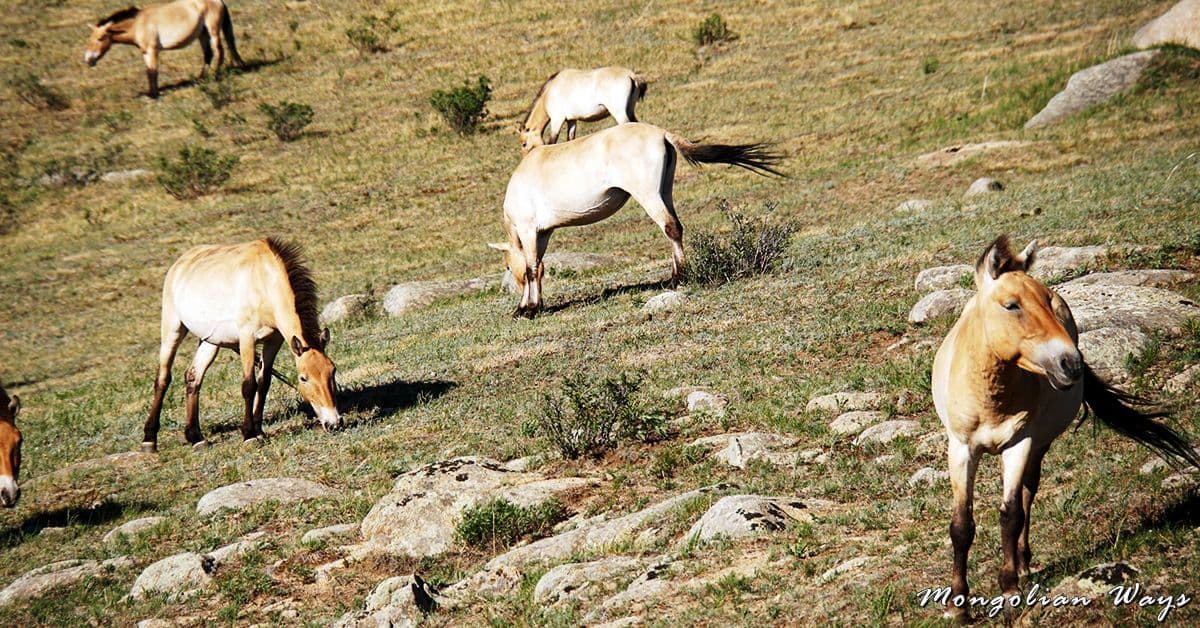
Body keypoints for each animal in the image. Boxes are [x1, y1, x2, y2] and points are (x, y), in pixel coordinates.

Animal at [84, 1, 244, 99]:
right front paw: (151, 94)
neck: (139, 24)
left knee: (219, 51)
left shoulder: (153, 51)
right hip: (202, 34)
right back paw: (201, 79)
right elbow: (149, 72)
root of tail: (219, 1)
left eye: (100, 38)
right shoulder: (146, 53)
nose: (88, 59)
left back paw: (216, 76)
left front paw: (156, 95)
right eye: (89, 39)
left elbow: (154, 72)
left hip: (213, 31)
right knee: (208, 55)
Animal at [141, 238, 340, 453]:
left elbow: (264, 383)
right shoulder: (247, 338)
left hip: (210, 341)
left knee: (193, 377)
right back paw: (149, 440)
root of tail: (179, 264)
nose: (334, 423)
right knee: (163, 379)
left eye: (332, 371)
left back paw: (196, 438)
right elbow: (249, 385)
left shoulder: (274, 340)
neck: (264, 281)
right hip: (173, 330)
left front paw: (259, 430)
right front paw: (249, 435)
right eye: (303, 378)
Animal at [490, 122, 783, 318]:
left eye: (507, 266)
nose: (520, 300)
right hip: (664, 192)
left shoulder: (529, 230)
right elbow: (538, 267)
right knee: (674, 227)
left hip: (648, 194)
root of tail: (661, 133)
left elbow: (530, 268)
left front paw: (528, 309)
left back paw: (679, 278)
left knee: (671, 228)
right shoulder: (544, 233)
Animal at [519, 67, 648, 153]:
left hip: (619, 113)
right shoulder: (571, 120)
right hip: (629, 110)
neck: (549, 92)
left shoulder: (557, 120)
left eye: (524, 144)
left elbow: (552, 141)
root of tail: (632, 75)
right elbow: (570, 139)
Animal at [931, 235, 1200, 622]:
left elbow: (1010, 515)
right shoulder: (961, 448)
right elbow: (961, 526)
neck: (991, 397)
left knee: (1027, 494)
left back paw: (1024, 565)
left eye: (1046, 301)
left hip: (1039, 444)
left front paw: (1010, 591)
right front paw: (958, 606)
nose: (1070, 364)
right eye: (1011, 305)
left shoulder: (1020, 443)